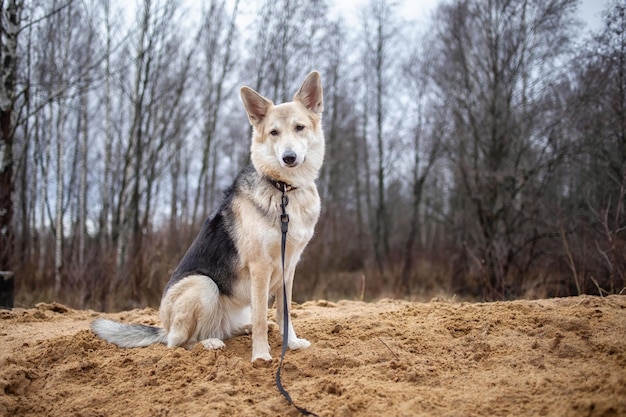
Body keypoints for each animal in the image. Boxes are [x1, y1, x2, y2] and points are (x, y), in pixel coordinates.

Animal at [96, 72, 326, 364]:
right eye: (274, 133)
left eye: (299, 128)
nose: (289, 157)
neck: (283, 189)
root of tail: (163, 326)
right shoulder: (260, 268)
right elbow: (263, 318)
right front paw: (261, 356)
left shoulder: (289, 268)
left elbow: (283, 313)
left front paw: (292, 344)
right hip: (204, 286)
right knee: (177, 343)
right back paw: (209, 343)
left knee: (224, 328)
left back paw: (237, 330)